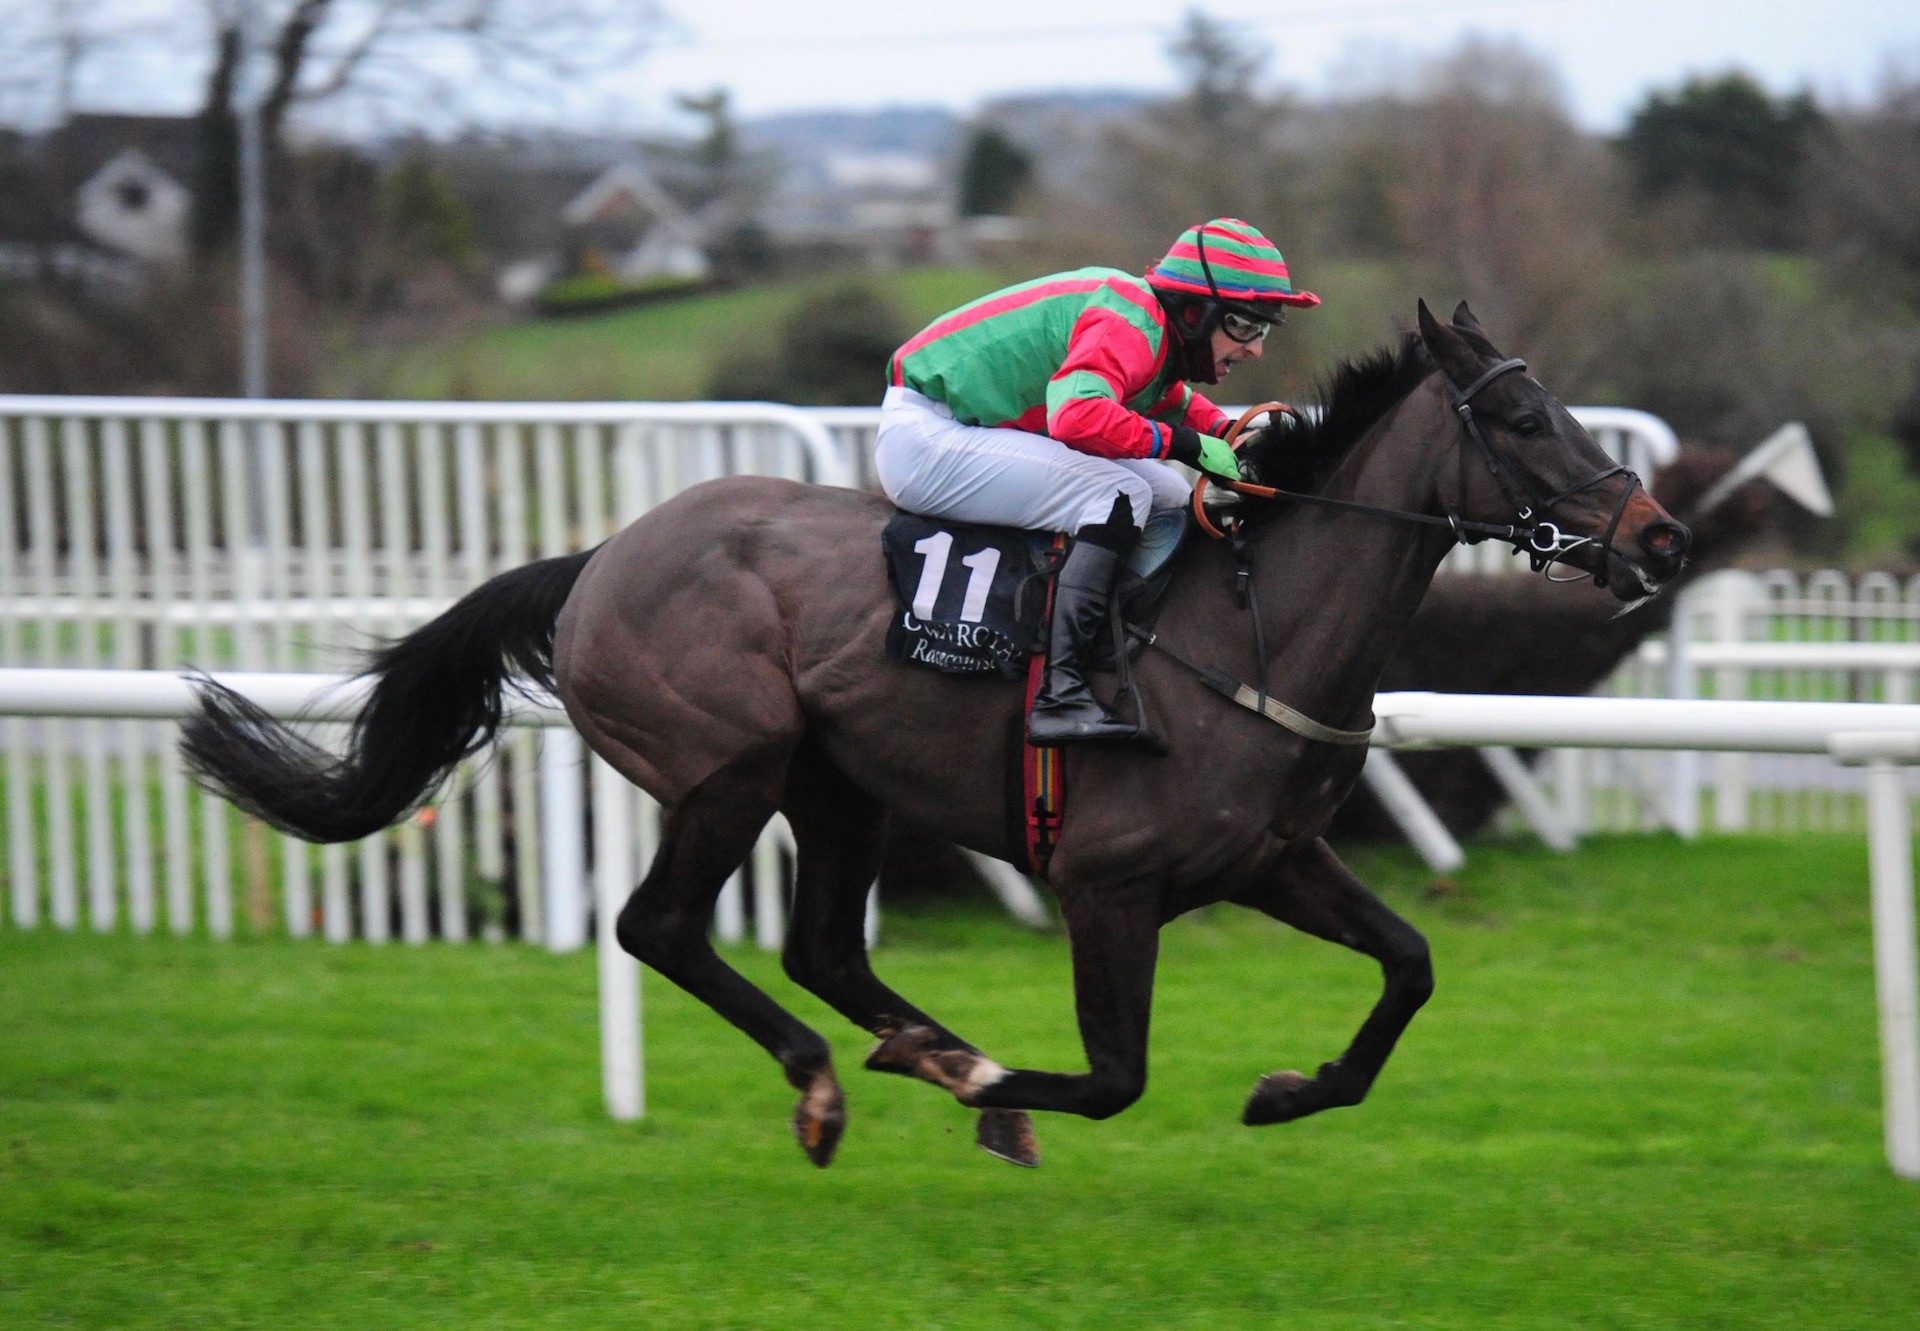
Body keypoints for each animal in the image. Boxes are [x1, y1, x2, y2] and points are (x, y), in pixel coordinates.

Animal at [180, 297, 1681, 1160]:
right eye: (1520, 414)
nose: (1658, 535)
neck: (1250, 619)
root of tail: (600, 555)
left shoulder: (1271, 856)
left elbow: (1411, 964)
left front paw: (1285, 1088)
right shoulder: (1109, 881)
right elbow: (1118, 1073)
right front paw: (1011, 1080)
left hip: (840, 783)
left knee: (824, 945)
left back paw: (934, 1052)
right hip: (731, 764)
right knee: (661, 925)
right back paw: (856, 1081)